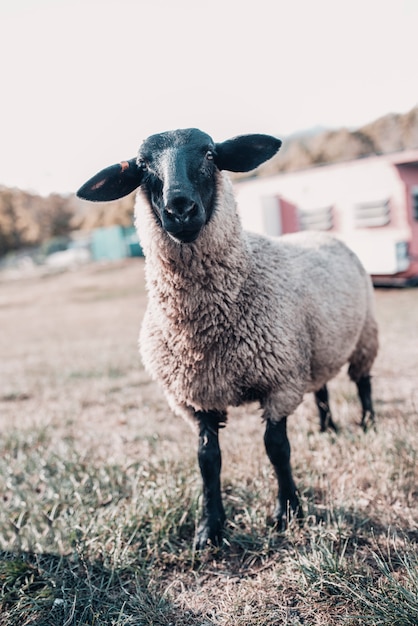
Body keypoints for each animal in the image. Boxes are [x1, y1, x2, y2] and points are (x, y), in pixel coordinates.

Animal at [77, 127, 378, 544]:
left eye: (209, 153)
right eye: (142, 165)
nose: (179, 208)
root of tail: (322, 233)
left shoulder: (280, 381)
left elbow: (277, 449)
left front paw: (287, 512)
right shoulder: (196, 398)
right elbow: (208, 460)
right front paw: (210, 528)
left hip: (364, 336)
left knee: (363, 382)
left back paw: (368, 425)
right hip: (317, 347)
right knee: (322, 388)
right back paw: (326, 428)